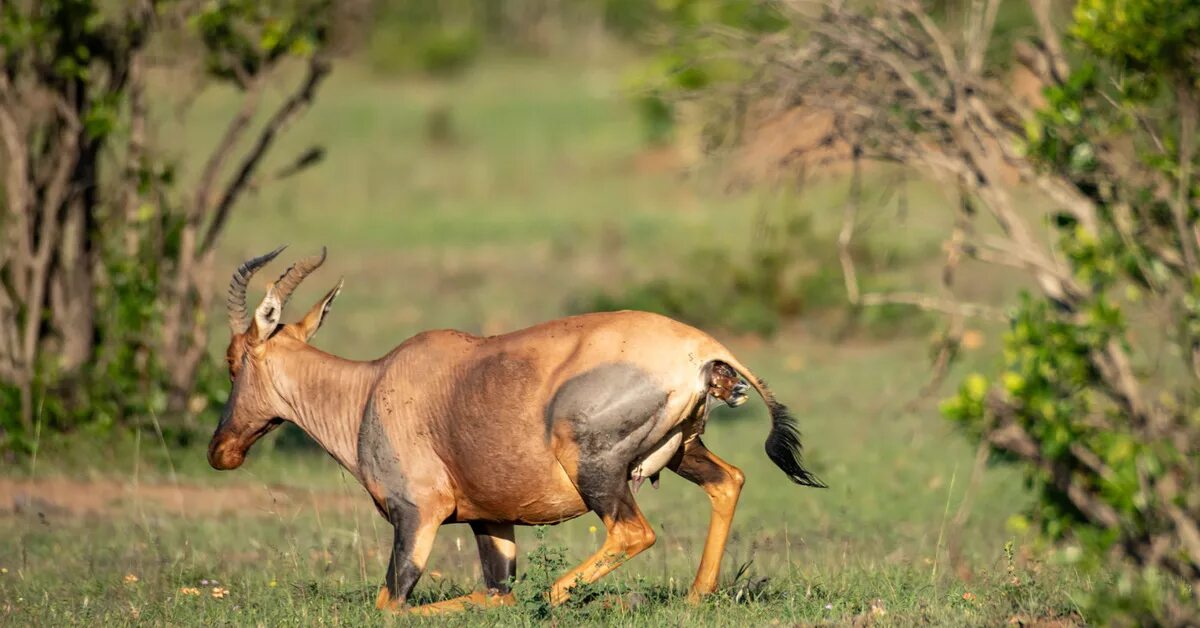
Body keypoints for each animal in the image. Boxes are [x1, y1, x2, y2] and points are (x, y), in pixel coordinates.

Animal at [208, 246, 825, 614]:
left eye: (234, 360)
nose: (221, 450)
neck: (375, 386)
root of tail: (703, 349)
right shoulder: (491, 520)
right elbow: (493, 593)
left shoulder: (417, 516)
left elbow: (392, 605)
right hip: (681, 452)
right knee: (729, 480)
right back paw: (696, 597)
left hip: (595, 466)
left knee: (632, 533)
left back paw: (562, 599)